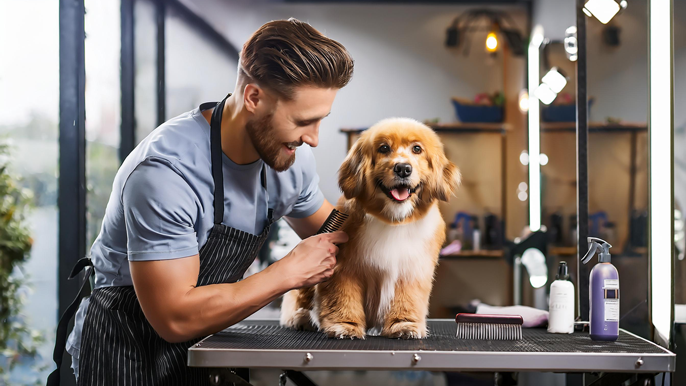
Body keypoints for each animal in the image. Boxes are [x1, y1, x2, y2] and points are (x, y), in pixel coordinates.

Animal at [280, 117, 462, 338]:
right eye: (384, 148)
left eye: (417, 149)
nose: (403, 168)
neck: (393, 220)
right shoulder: (344, 269)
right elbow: (343, 299)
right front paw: (345, 326)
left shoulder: (412, 271)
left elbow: (407, 300)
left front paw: (404, 325)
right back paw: (302, 318)